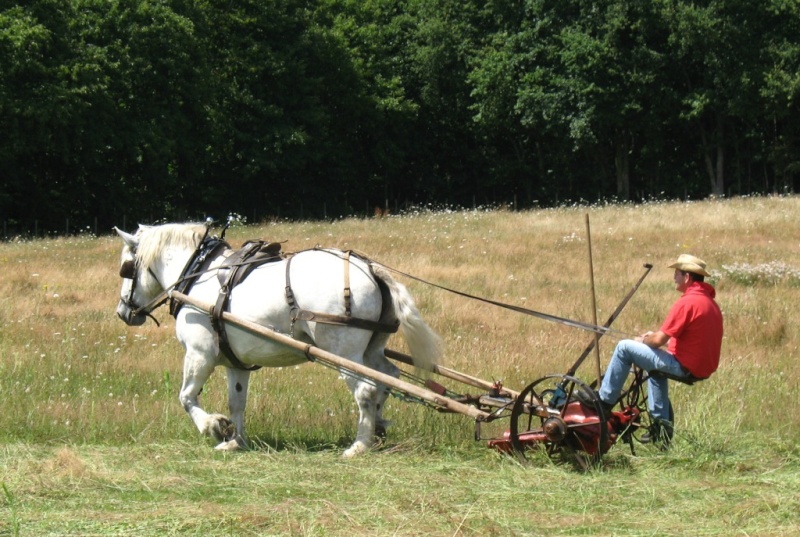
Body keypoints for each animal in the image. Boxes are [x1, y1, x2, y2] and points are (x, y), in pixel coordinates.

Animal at [115, 220, 440, 454]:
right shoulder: (235, 363)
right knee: (388, 378)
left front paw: (214, 426)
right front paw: (235, 441)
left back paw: (359, 445)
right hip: (371, 349)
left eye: (127, 269)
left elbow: (186, 397)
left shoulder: (199, 353)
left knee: (366, 390)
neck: (197, 275)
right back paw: (378, 427)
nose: (122, 312)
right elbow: (237, 401)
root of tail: (369, 267)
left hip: (344, 352)